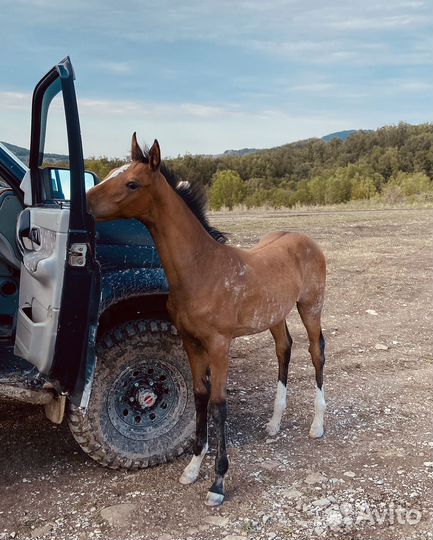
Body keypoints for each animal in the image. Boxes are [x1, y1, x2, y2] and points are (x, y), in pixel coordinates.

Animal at [86, 135, 326, 506]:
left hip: (311, 306)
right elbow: (199, 397)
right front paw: (192, 468)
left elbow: (218, 404)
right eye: (112, 174)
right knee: (284, 349)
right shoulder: (190, 341)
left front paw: (218, 483)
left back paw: (317, 425)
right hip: (275, 314)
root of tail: (305, 240)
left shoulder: (219, 344)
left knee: (316, 352)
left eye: (132, 183)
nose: (83, 203)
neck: (202, 269)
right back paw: (274, 424)